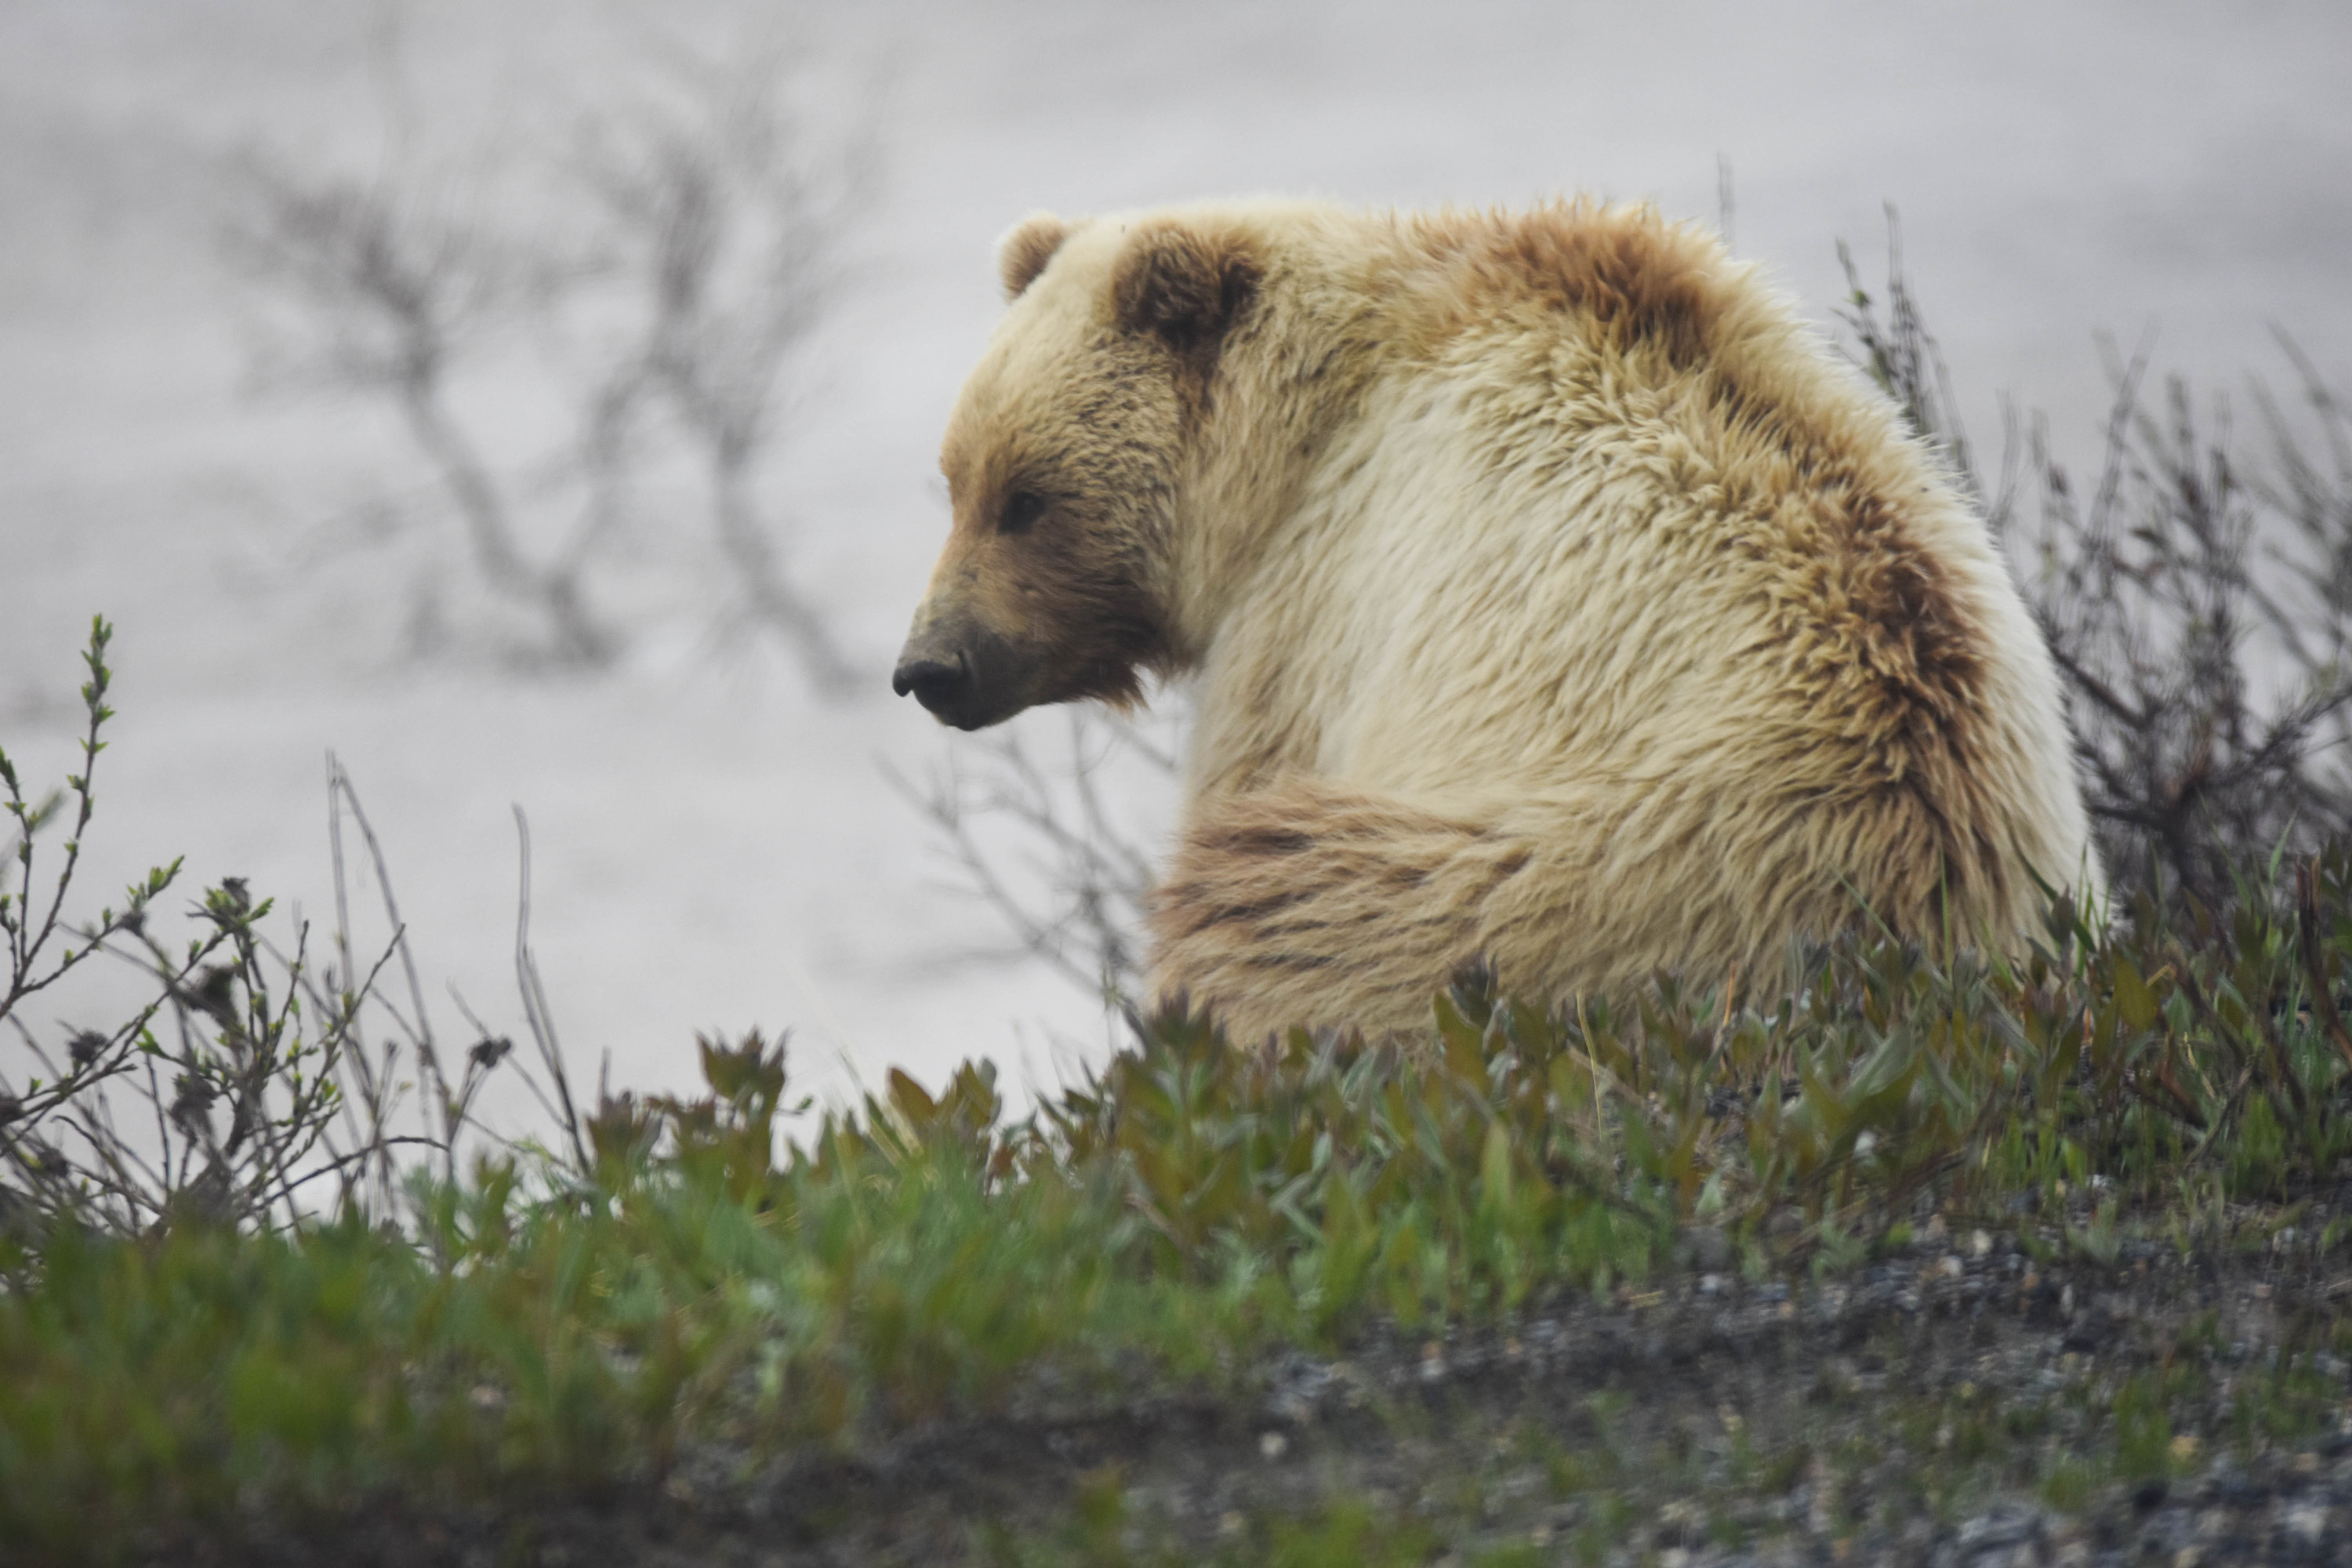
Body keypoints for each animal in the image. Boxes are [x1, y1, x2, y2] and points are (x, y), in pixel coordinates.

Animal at [894, 198, 2099, 1042]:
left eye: (1027, 497)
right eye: (956, 479)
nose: (930, 667)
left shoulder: (1318, 603)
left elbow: (1252, 774)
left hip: (1569, 886)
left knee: (1266, 905)